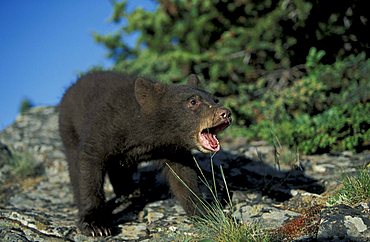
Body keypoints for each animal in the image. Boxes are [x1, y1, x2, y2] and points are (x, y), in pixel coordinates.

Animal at [57, 71, 231, 237]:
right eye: (193, 101)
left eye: (215, 100)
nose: (226, 113)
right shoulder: (105, 128)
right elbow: (90, 168)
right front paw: (95, 225)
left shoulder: (173, 149)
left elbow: (184, 177)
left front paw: (206, 213)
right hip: (69, 129)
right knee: (74, 164)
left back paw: (130, 191)